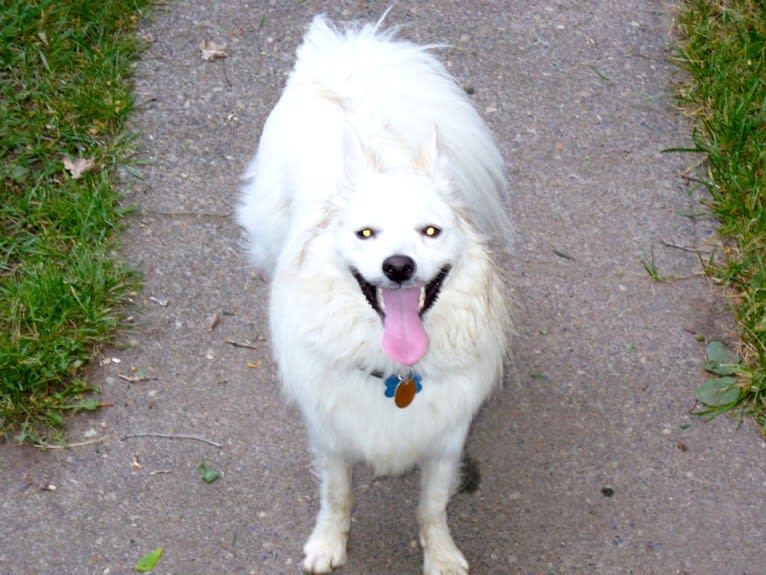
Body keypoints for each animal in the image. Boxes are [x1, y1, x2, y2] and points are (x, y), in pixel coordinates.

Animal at [237, 14, 512, 575]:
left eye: (431, 231)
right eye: (366, 234)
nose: (398, 266)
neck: (396, 374)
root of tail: (350, 71)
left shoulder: (445, 439)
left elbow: (432, 507)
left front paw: (441, 556)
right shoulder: (330, 434)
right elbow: (336, 495)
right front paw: (327, 545)